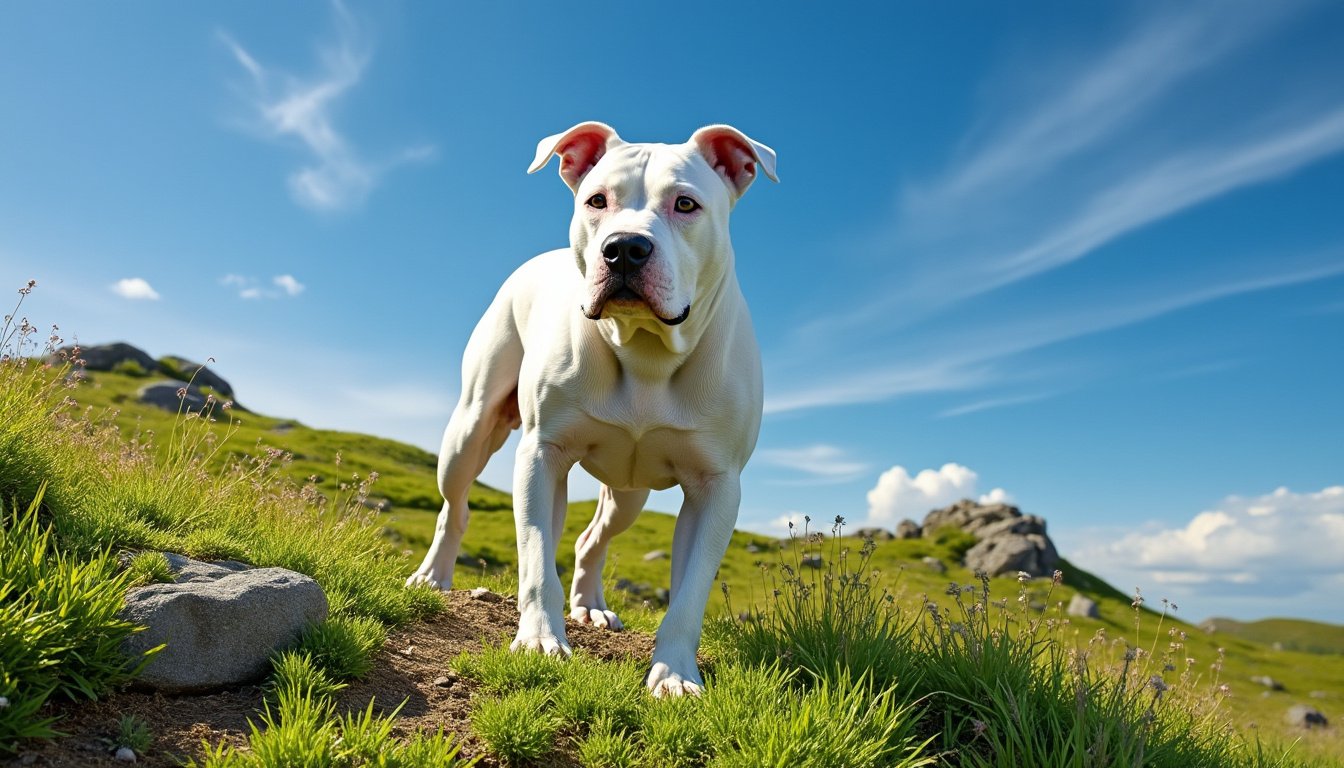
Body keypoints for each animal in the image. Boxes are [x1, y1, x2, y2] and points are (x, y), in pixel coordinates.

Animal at [403, 120, 774, 699]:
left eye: (685, 204)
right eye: (597, 200)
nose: (624, 248)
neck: (644, 349)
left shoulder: (716, 488)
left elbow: (689, 595)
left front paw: (673, 673)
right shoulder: (541, 454)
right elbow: (535, 559)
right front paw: (539, 639)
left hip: (630, 493)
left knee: (588, 538)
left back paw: (591, 607)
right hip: (471, 429)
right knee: (456, 507)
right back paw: (435, 575)